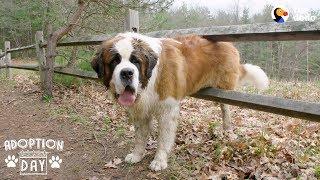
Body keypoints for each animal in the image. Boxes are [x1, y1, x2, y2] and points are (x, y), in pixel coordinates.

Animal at [91, 31, 268, 171]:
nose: (127, 73)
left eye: (135, 61)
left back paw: (228, 131)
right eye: (115, 61)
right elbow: (140, 136)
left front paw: (159, 161)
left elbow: (163, 138)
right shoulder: (141, 110)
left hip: (223, 91)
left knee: (226, 110)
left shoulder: (167, 109)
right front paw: (137, 155)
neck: (150, 78)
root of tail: (229, 44)